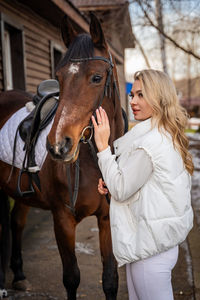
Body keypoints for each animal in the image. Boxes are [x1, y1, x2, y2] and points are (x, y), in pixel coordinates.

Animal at [0, 13, 125, 298]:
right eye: (59, 76)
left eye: (97, 77)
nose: (59, 146)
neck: (96, 159)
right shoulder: (63, 220)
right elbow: (71, 278)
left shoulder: (107, 219)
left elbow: (110, 279)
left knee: (16, 222)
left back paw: (19, 275)